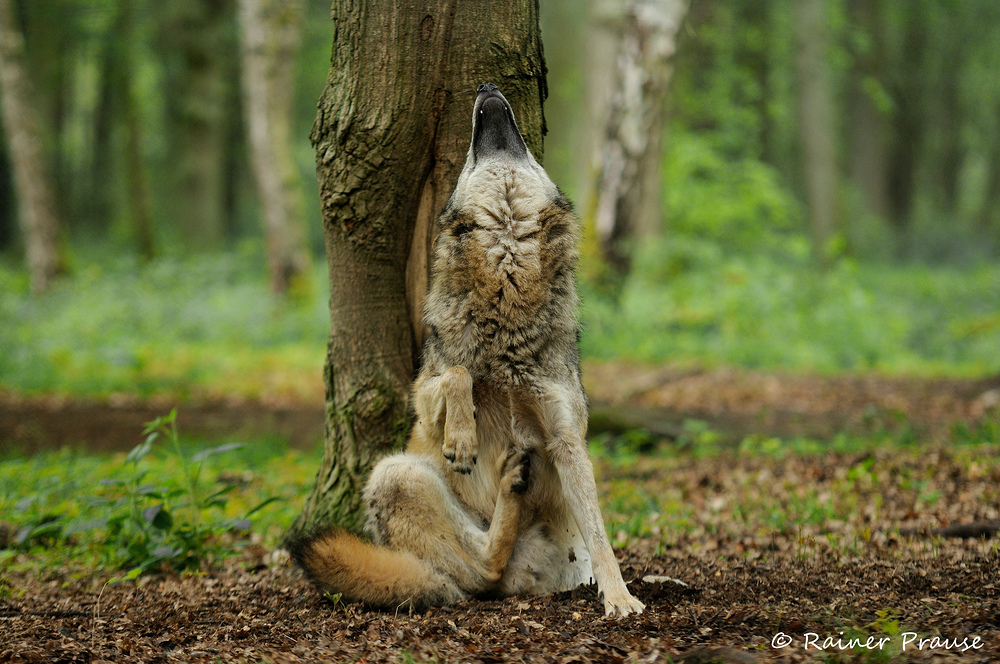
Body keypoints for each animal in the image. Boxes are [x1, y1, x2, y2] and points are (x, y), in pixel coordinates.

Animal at [292, 81, 644, 616]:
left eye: (531, 151)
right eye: (466, 161)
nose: (488, 85)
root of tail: (531, 579)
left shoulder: (567, 439)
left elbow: (604, 536)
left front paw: (620, 598)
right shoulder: (420, 395)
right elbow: (458, 375)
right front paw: (462, 438)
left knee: (496, 566)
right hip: (395, 472)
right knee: (481, 569)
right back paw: (508, 485)